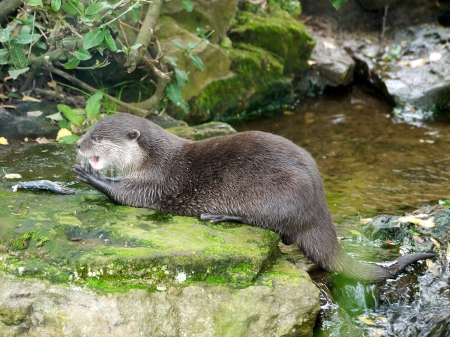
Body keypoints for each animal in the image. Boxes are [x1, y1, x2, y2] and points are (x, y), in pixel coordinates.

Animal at [73, 111, 432, 280]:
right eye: (88, 130)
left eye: (98, 137)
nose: (77, 144)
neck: (153, 159)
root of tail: (319, 208)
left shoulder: (156, 182)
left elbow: (126, 195)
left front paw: (91, 176)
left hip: (277, 194)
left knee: (273, 226)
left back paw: (219, 215)